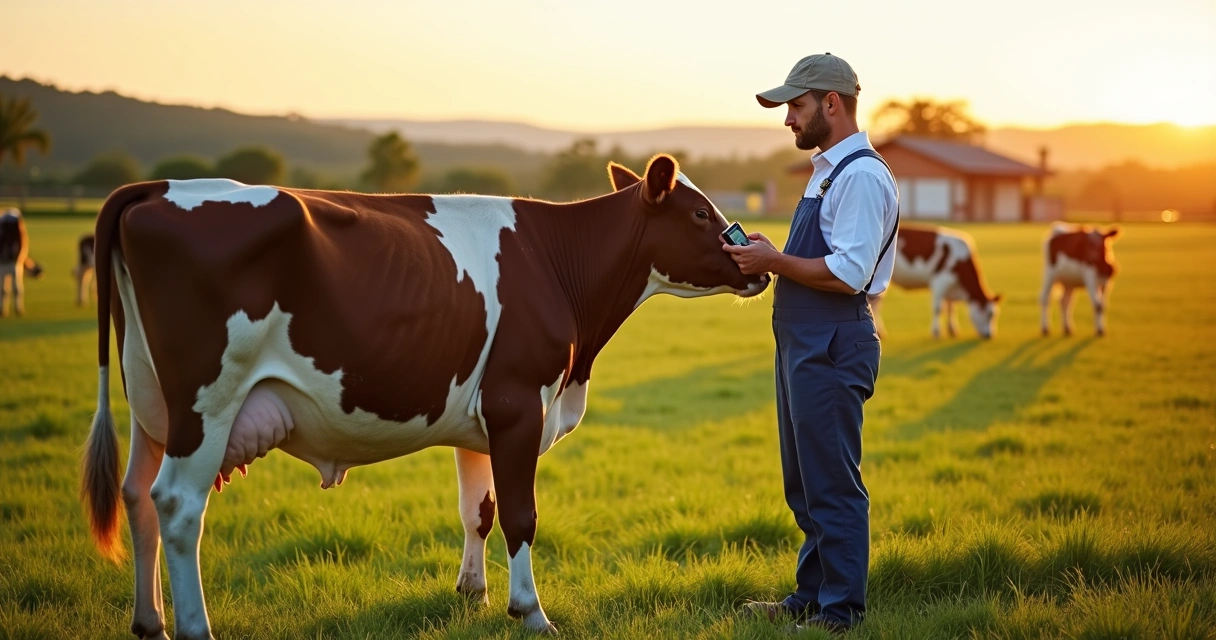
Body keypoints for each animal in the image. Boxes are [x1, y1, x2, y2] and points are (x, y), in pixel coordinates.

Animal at [79, 155, 769, 639]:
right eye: (701, 214)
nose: (760, 264)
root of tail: (159, 188)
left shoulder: (484, 418)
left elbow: (478, 510)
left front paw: (473, 593)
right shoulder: (519, 402)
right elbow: (521, 515)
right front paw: (531, 611)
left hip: (153, 404)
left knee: (137, 496)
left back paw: (150, 621)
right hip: (208, 401)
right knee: (178, 505)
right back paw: (195, 627)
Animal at [867, 224, 1001, 339]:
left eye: (994, 315)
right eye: (989, 314)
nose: (990, 335)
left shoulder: (951, 287)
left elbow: (951, 307)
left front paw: (952, 329)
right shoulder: (940, 281)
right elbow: (938, 308)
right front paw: (936, 333)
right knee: (875, 304)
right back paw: (880, 332)